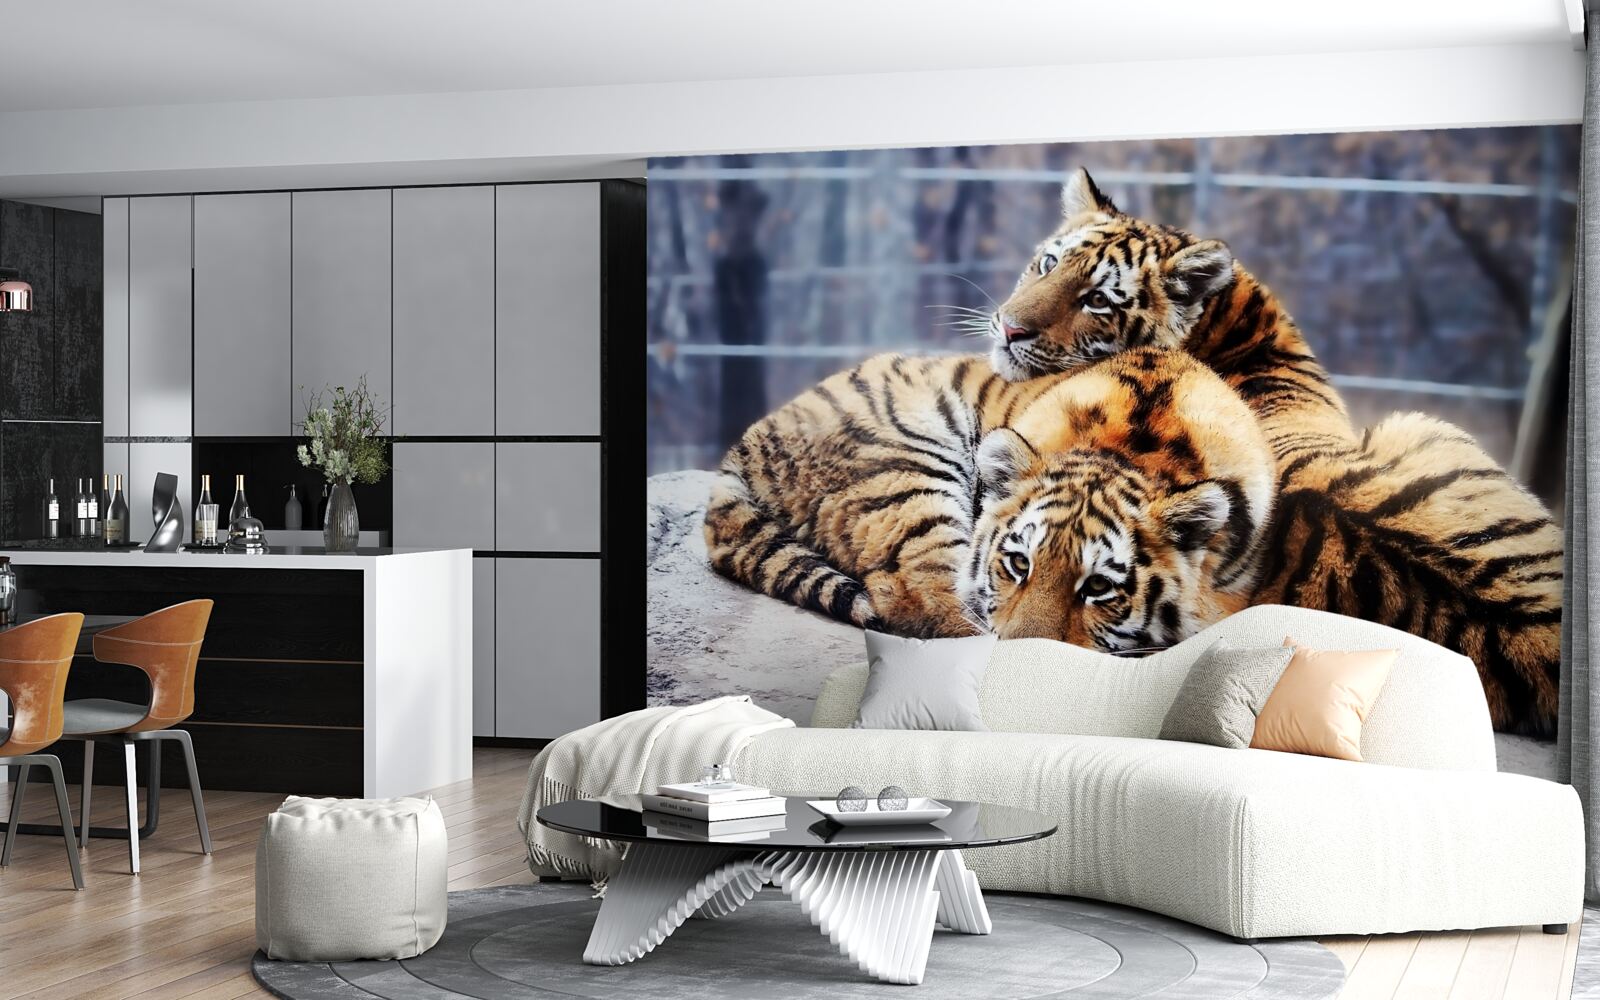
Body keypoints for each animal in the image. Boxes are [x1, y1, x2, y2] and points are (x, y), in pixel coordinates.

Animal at [704, 348, 1275, 651]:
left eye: (1098, 587)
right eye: (1018, 563)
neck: (1137, 451)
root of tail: (747, 442)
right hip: (910, 471)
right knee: (918, 595)